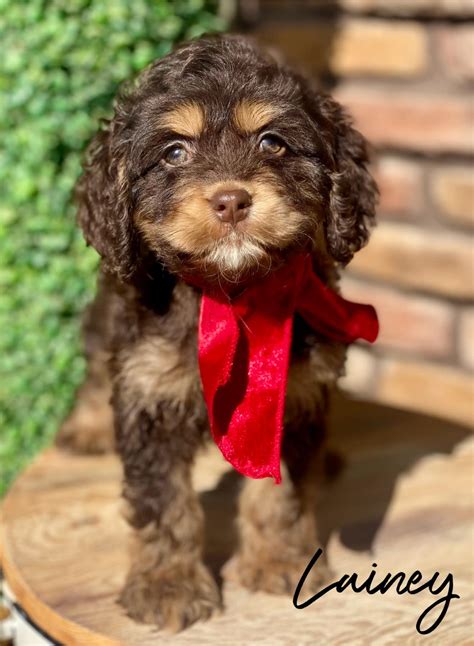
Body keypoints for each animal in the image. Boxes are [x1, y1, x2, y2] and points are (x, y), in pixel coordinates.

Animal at [55, 35, 376, 632]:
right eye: (174, 153)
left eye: (273, 142)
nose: (231, 200)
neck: (230, 293)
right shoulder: (149, 393)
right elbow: (165, 506)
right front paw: (168, 585)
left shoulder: (292, 398)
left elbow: (281, 495)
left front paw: (280, 561)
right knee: (95, 360)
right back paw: (86, 427)